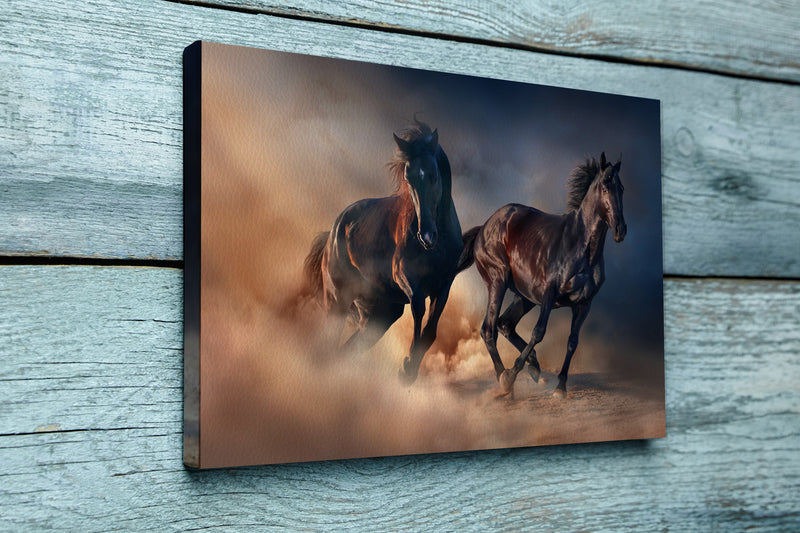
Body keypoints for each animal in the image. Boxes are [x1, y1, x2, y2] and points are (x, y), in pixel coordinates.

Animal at [302, 122, 462, 382]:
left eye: (434, 175)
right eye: (408, 178)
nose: (426, 236)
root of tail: (332, 234)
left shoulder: (444, 284)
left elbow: (430, 331)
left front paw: (409, 368)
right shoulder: (405, 276)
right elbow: (419, 307)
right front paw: (407, 368)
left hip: (379, 314)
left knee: (347, 349)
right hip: (337, 303)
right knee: (329, 345)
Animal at [456, 152, 624, 396]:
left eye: (621, 188)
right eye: (604, 187)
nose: (621, 230)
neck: (581, 248)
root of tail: (484, 227)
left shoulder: (584, 304)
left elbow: (573, 341)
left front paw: (560, 387)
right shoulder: (549, 294)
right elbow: (538, 332)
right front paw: (512, 375)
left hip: (524, 296)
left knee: (505, 324)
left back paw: (534, 368)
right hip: (498, 282)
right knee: (489, 329)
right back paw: (504, 380)